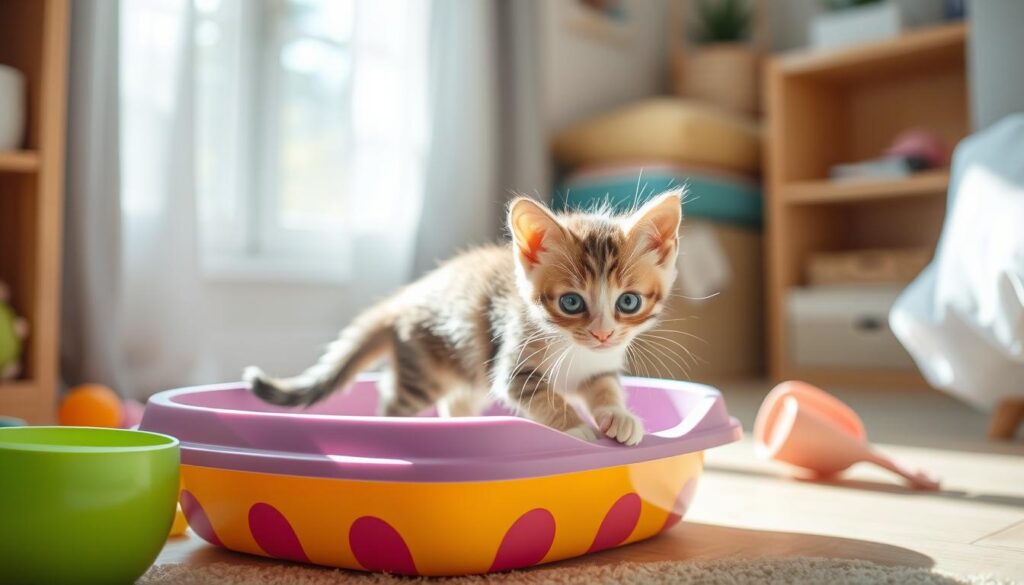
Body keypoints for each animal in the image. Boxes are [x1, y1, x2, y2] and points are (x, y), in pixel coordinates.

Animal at [243, 189, 684, 446]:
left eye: (628, 302)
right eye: (572, 303)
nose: (603, 334)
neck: (572, 348)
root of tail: (404, 298)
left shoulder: (600, 367)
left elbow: (605, 389)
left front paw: (619, 417)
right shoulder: (513, 365)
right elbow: (545, 396)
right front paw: (576, 429)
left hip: (469, 370)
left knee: (456, 402)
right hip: (424, 373)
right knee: (394, 409)